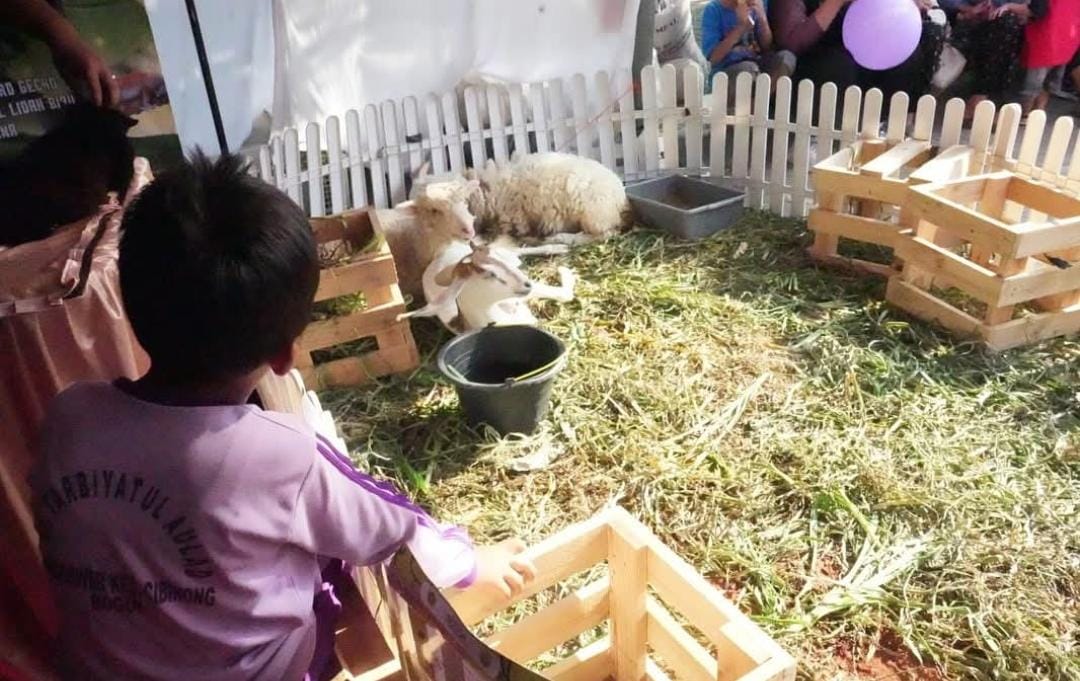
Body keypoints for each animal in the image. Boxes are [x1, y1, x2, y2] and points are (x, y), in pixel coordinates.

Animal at [397, 240, 576, 333]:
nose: (527, 284)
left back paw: (559, 247)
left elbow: (563, 294)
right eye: (491, 275)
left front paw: (564, 270)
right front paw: (565, 270)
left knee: (517, 250)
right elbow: (566, 294)